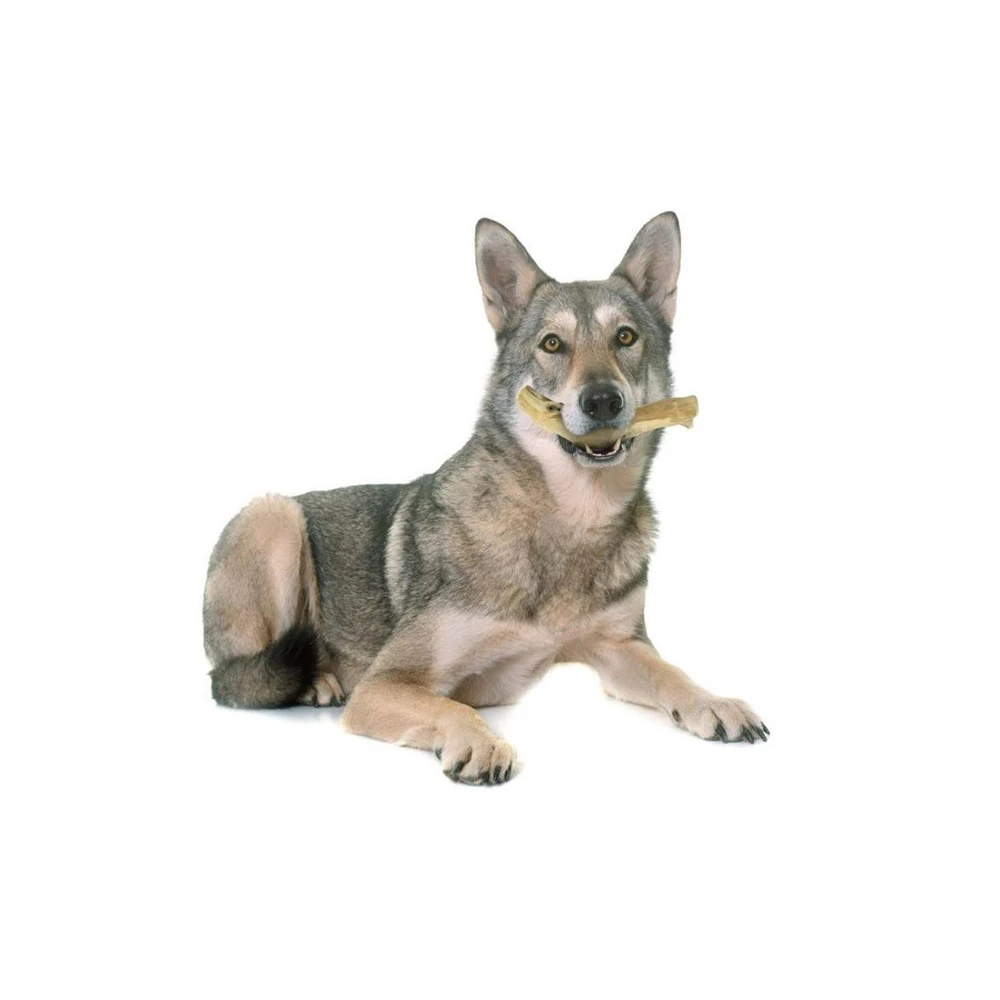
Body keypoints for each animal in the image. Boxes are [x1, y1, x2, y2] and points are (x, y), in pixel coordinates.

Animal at [203, 212, 768, 784]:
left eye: (625, 337)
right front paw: (480, 742)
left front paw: (714, 702)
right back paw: (314, 679)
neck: (569, 517)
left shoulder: (620, 648)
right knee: (237, 676)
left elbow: (673, 674)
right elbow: (452, 707)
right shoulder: (386, 683)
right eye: (552, 344)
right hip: (273, 516)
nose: (603, 400)